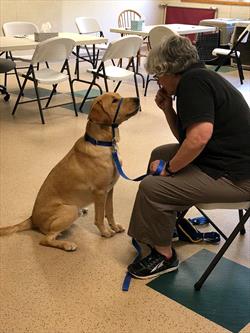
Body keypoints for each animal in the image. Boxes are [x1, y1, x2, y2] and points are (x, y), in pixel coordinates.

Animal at [0, 92, 140, 250]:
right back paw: (67, 244)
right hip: (70, 210)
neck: (105, 145)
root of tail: (32, 219)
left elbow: (109, 212)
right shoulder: (100, 192)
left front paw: (114, 226)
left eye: (119, 96)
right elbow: (99, 217)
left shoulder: (109, 190)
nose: (138, 99)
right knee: (45, 239)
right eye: (114, 101)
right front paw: (105, 232)